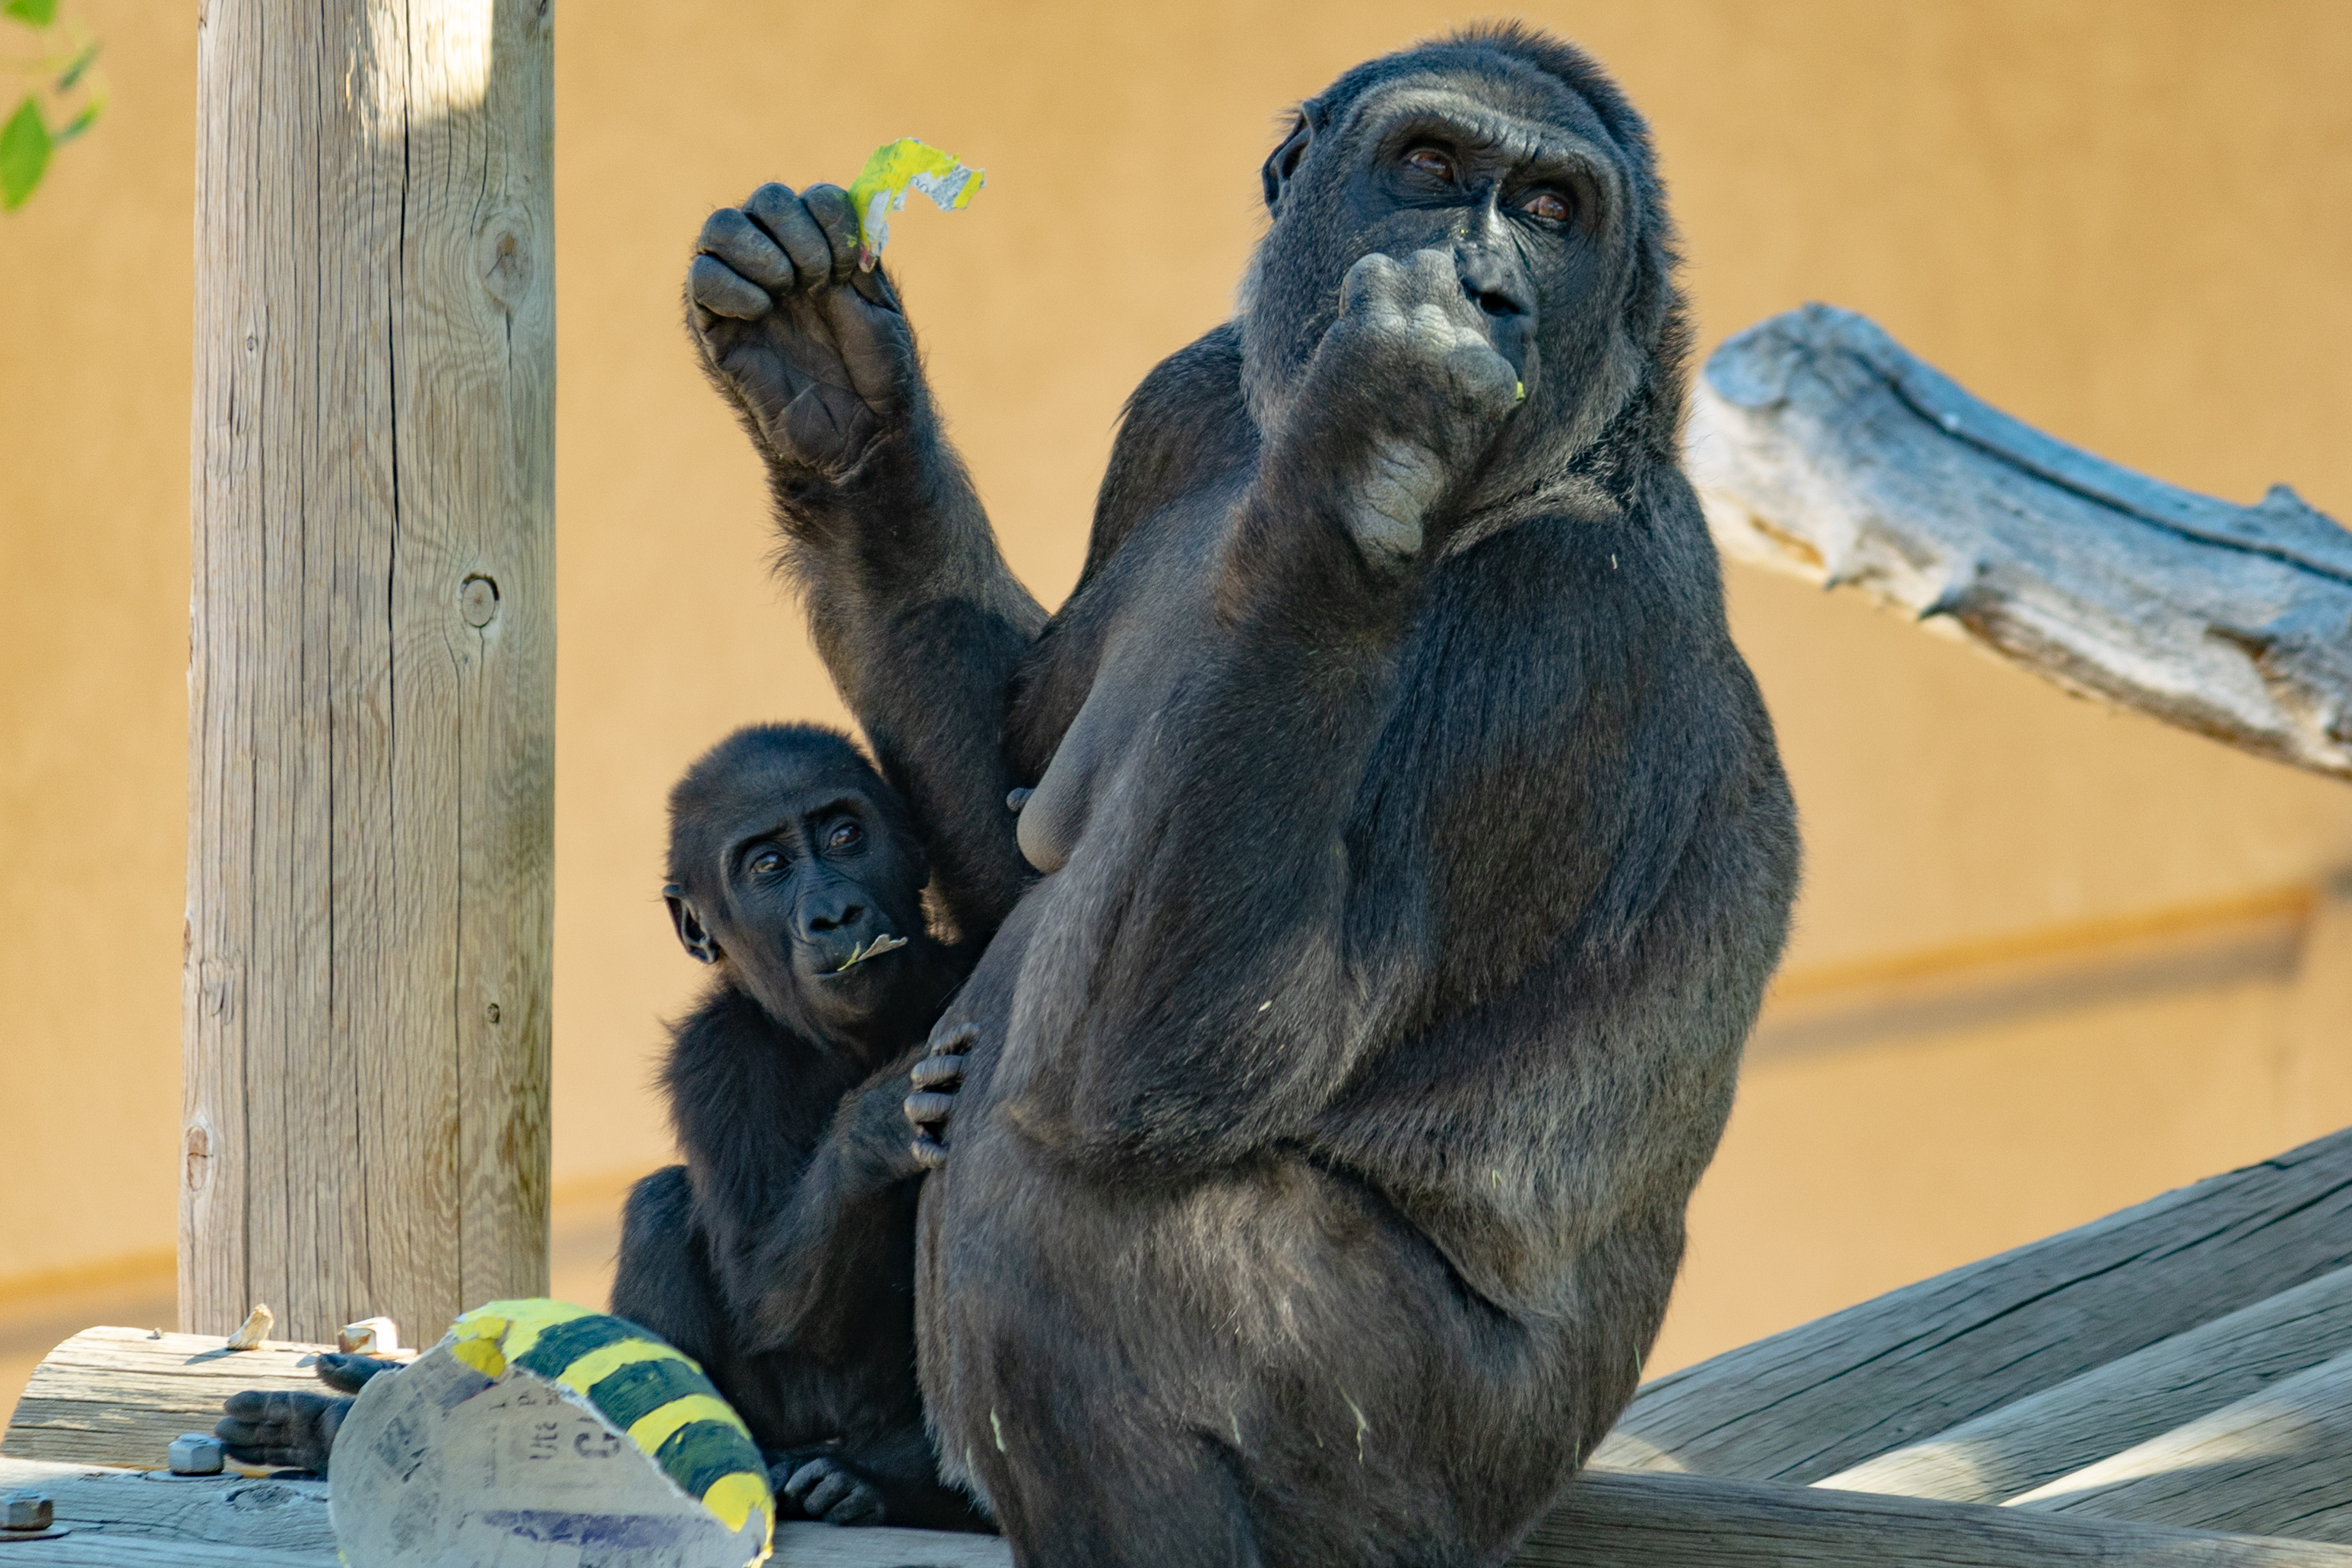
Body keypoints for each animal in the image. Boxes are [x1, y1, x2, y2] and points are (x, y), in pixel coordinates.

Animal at [220, 725, 987, 1533]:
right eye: (769, 867)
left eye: (845, 835)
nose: (833, 914)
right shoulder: (712, 1057)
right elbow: (763, 1297)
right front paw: (878, 1125)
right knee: (662, 1205)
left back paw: (872, 1478)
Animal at [683, 23, 1798, 1565]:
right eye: (1430, 166)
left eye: (1553, 208)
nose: (1483, 284)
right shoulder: (1188, 402)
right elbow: (1004, 833)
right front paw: (841, 405)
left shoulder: (1563, 613)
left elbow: (1194, 1043)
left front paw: (1374, 445)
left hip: (1434, 1487)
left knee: (1065, 1181)